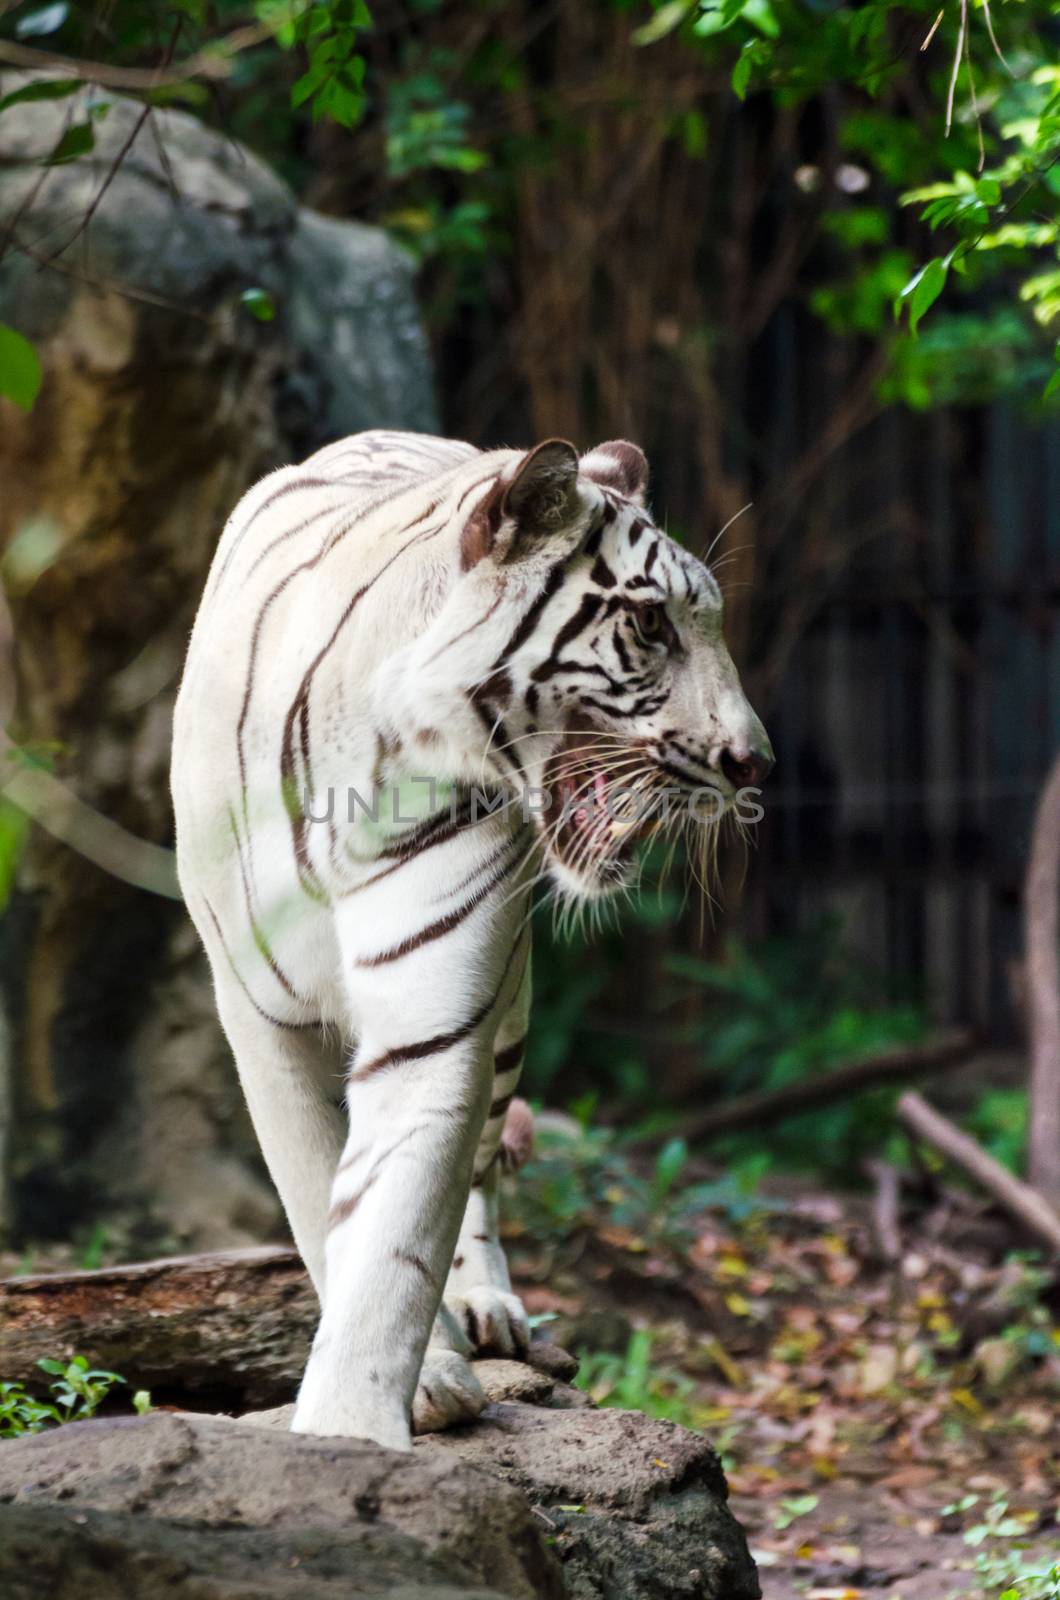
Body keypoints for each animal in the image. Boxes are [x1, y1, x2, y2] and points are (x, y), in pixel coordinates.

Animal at [172, 425, 771, 1452]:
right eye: (651, 627)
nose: (755, 760)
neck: (379, 747)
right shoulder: (262, 1013)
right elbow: (317, 1194)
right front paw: (408, 1397)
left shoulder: (436, 1009)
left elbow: (396, 1231)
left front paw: (360, 1428)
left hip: (513, 1011)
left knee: (485, 1167)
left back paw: (486, 1306)